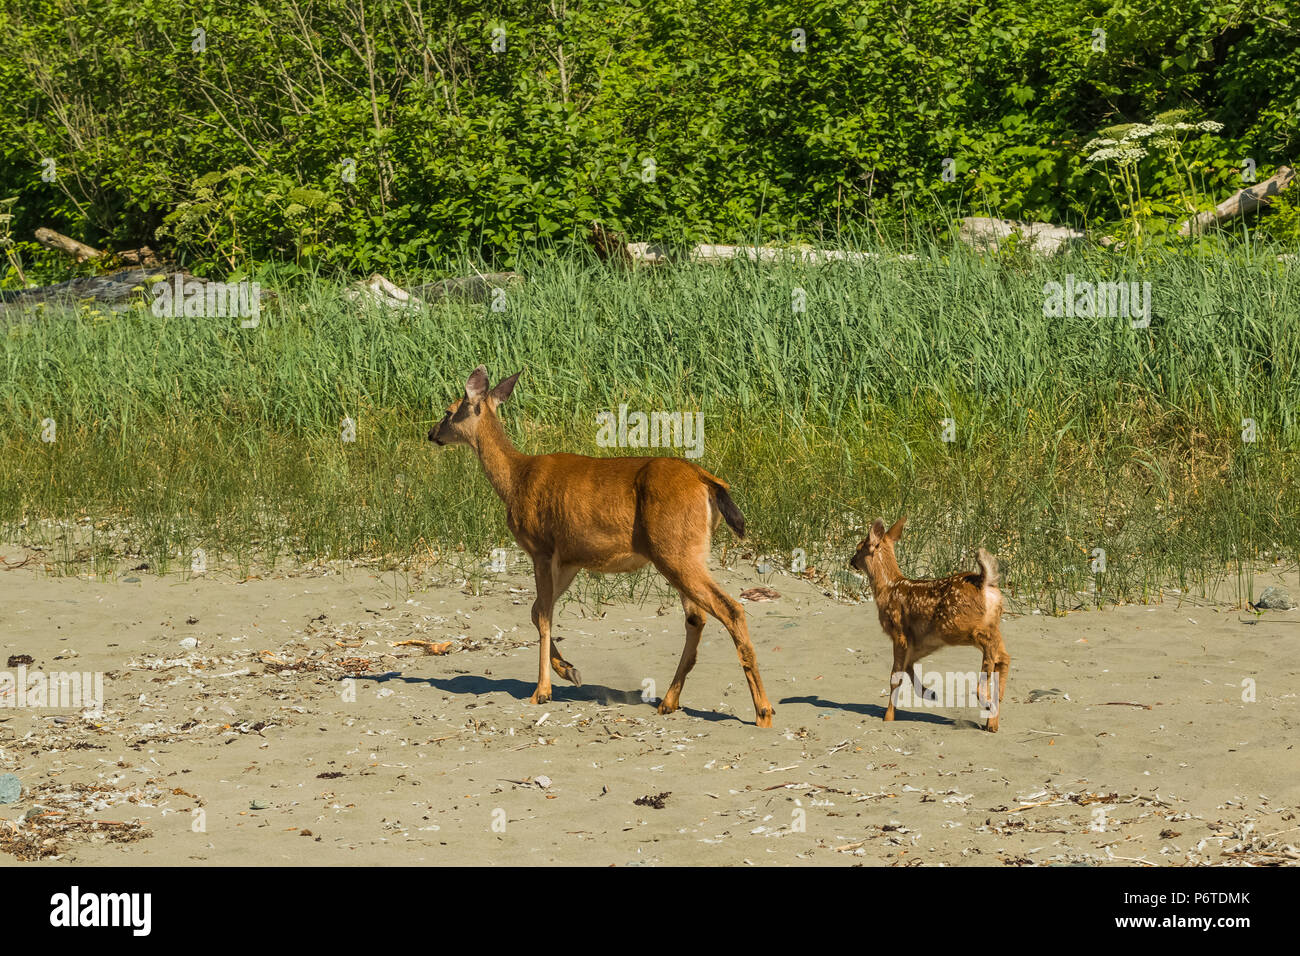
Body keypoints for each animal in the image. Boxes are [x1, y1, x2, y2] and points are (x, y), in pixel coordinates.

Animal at [428, 366, 769, 723]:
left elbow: (544, 616)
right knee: (697, 617)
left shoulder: (541, 547)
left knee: (730, 609)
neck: (516, 479)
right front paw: (569, 670)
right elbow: (537, 612)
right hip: (687, 552)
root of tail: (708, 481)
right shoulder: (569, 559)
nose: (431, 433)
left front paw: (542, 692)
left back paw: (763, 711)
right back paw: (669, 701)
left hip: (675, 550)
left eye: (449, 411)